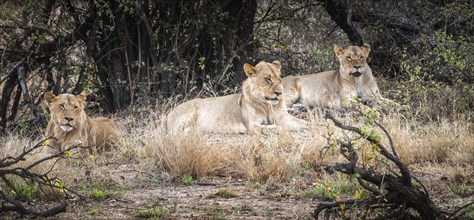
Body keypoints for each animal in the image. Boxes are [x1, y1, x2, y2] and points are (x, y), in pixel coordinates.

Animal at [167, 60, 308, 133]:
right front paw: (279, 129)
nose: (279, 93)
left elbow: (305, 123)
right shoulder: (252, 125)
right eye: (268, 79)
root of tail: (170, 112)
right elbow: (275, 128)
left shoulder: (284, 118)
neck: (267, 106)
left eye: (279, 79)